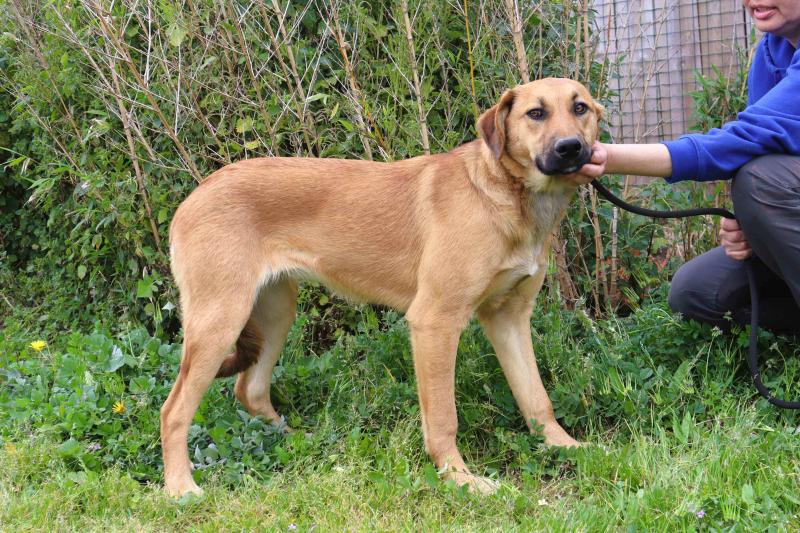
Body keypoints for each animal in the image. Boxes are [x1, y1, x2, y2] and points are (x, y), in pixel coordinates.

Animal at [161, 77, 604, 496]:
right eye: (535, 113)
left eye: (580, 108)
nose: (570, 148)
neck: (505, 196)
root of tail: (194, 197)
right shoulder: (435, 322)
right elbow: (443, 418)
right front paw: (459, 479)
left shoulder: (508, 318)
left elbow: (536, 398)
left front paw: (565, 447)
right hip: (220, 320)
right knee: (174, 411)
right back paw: (181, 488)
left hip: (275, 312)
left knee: (250, 389)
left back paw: (296, 441)